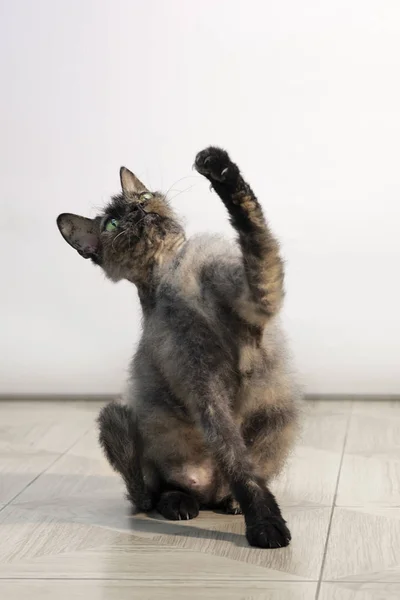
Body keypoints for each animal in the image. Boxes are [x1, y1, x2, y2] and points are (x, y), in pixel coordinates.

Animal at [55, 146, 300, 548]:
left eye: (142, 197)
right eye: (112, 224)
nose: (137, 211)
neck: (174, 272)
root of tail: (211, 491)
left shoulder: (258, 297)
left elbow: (254, 230)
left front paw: (219, 168)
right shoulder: (202, 384)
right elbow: (235, 459)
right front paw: (265, 524)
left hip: (279, 412)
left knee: (236, 480)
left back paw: (231, 503)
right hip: (120, 420)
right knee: (154, 494)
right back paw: (181, 504)